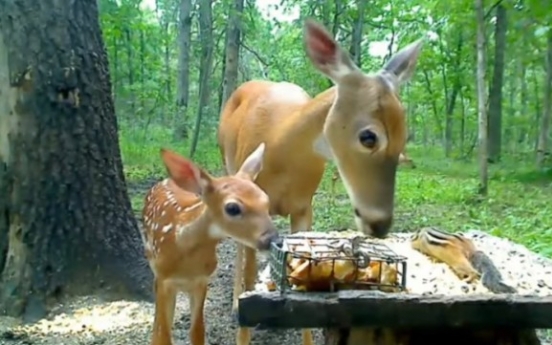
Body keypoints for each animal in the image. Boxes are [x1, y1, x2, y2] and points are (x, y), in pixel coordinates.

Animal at [141, 143, 280, 344]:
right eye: (232, 208)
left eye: (266, 201)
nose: (273, 239)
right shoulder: (164, 279)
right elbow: (164, 335)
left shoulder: (202, 280)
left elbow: (197, 332)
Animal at [217, 18, 422, 344]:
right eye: (368, 137)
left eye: (405, 138)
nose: (380, 224)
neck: (279, 149)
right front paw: (241, 313)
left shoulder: (304, 207)